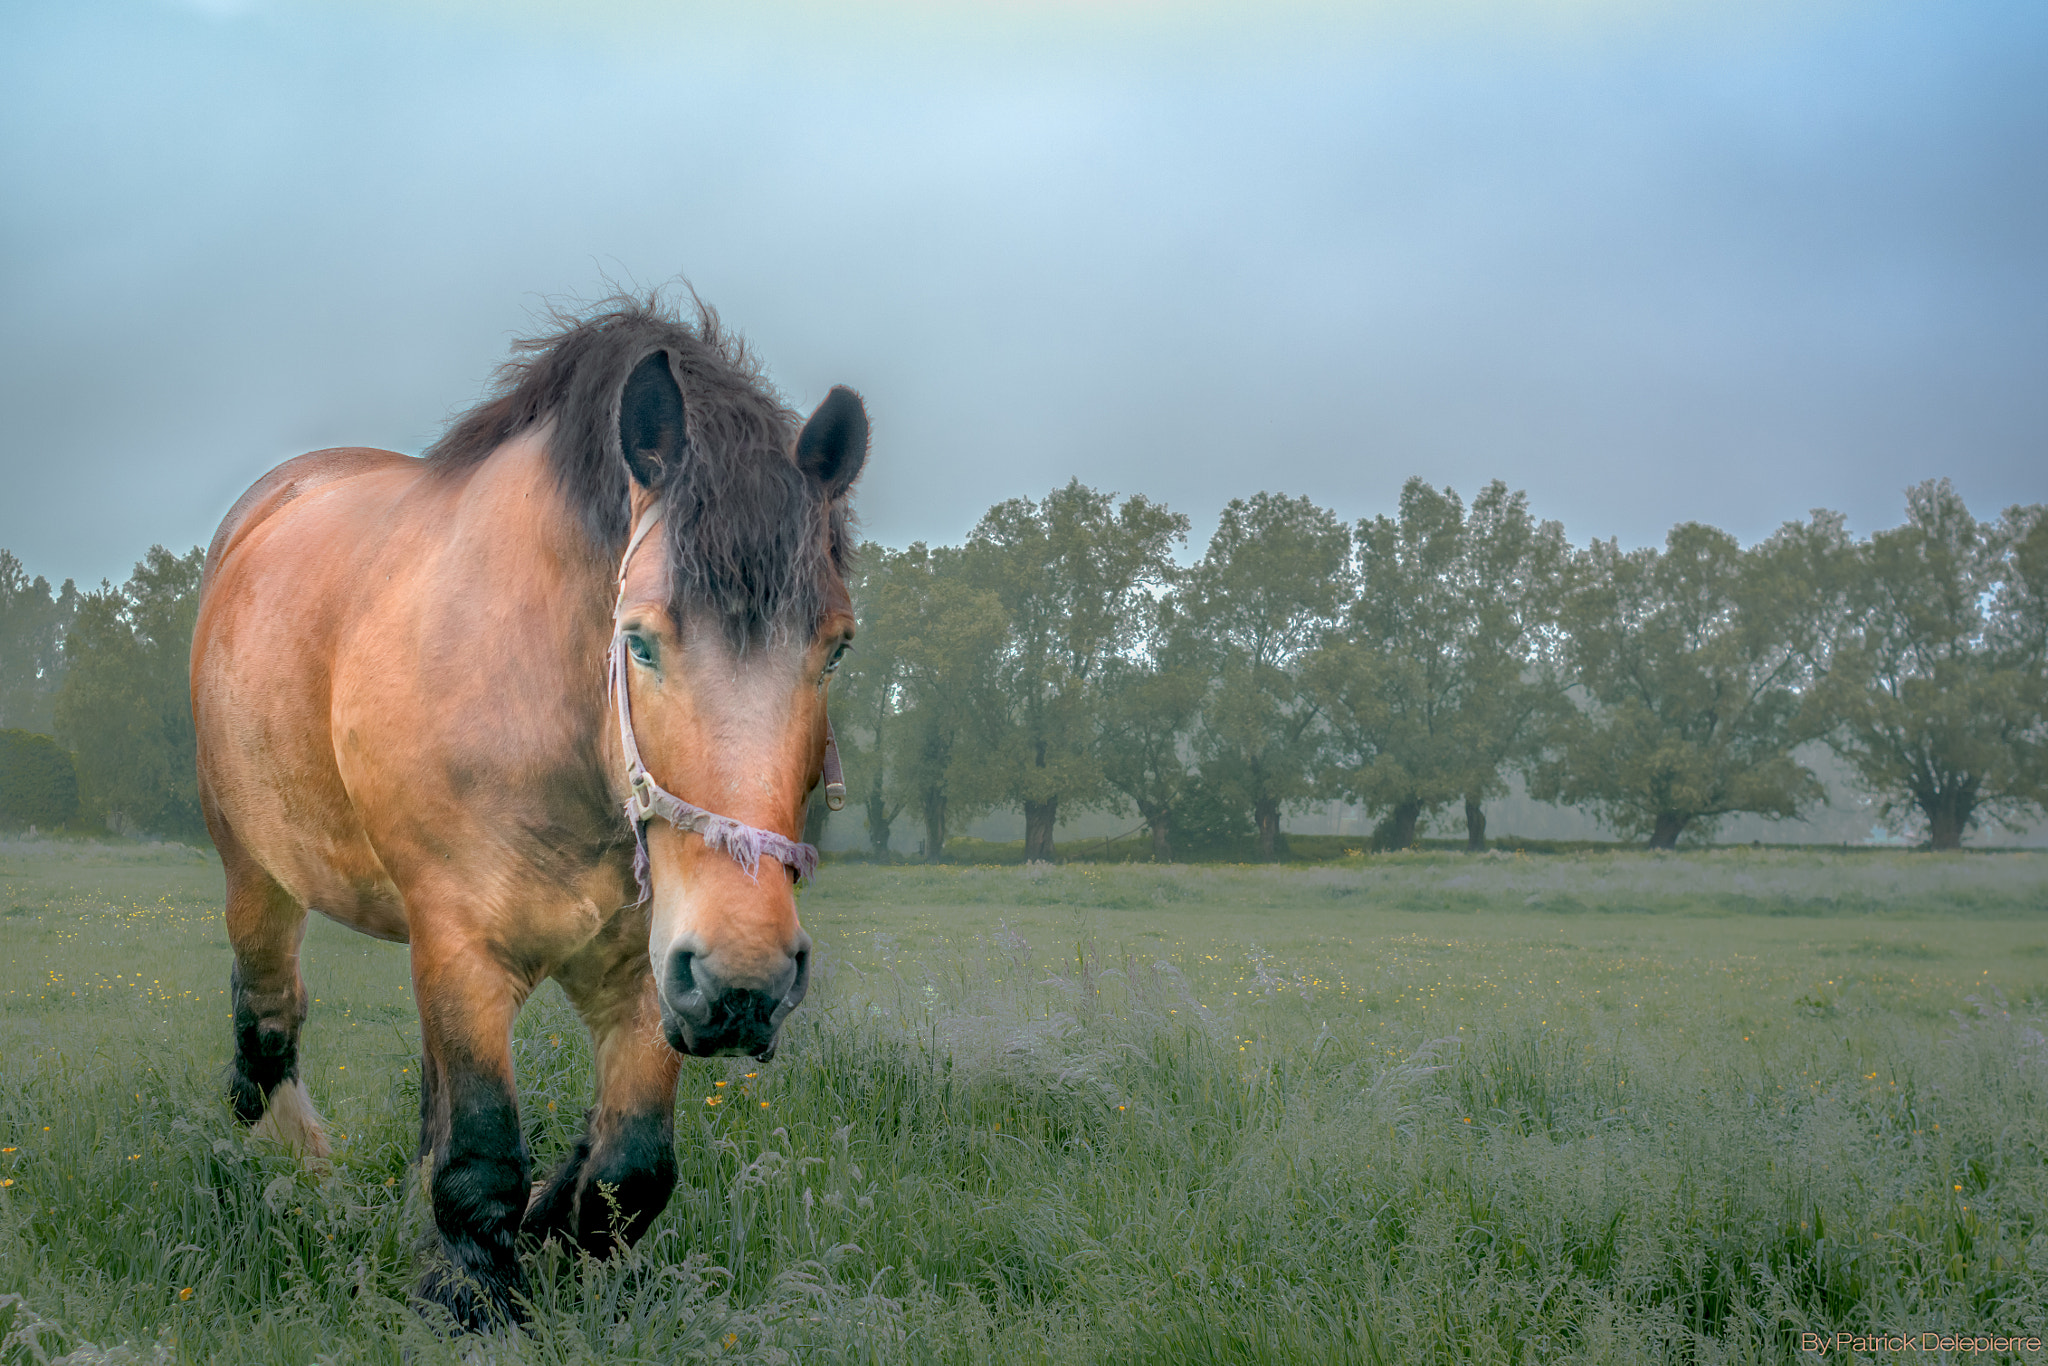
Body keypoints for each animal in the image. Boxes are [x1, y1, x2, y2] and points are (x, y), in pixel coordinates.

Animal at [192, 296, 864, 1327]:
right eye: (640, 641)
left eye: (834, 648)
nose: (745, 982)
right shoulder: (464, 946)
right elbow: (480, 1162)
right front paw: (463, 1293)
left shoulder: (649, 975)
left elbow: (628, 1172)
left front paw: (545, 1234)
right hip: (256, 870)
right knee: (267, 1015)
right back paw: (293, 1171)